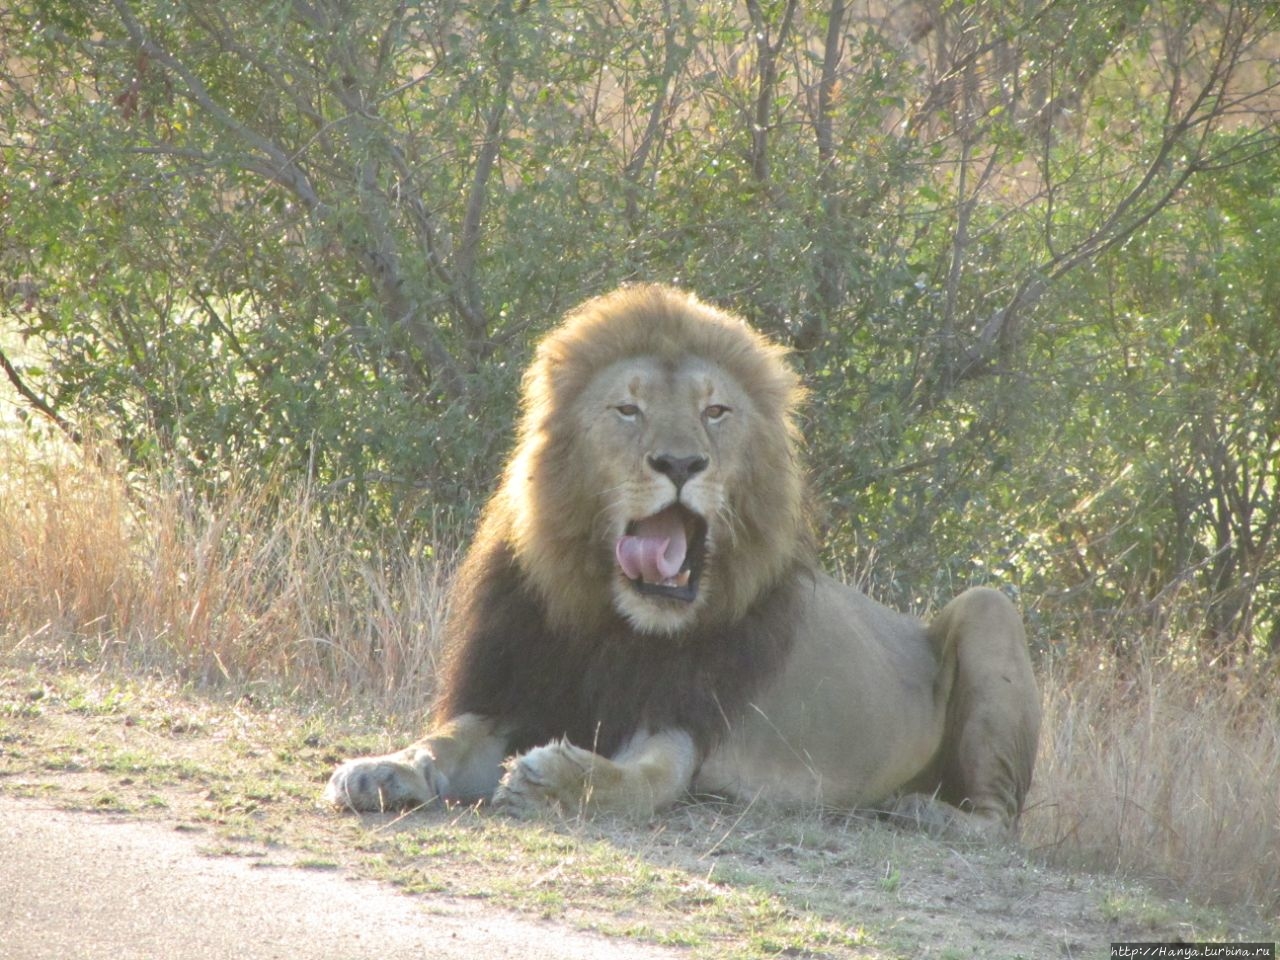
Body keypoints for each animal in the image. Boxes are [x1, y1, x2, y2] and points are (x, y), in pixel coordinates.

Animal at [325, 281, 1044, 839]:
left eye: (715, 411)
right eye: (628, 408)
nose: (679, 463)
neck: (611, 623)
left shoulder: (681, 725)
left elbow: (640, 780)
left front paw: (555, 779)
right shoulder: (516, 692)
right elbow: (445, 740)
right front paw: (381, 769)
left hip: (990, 610)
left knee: (1001, 821)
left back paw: (924, 813)